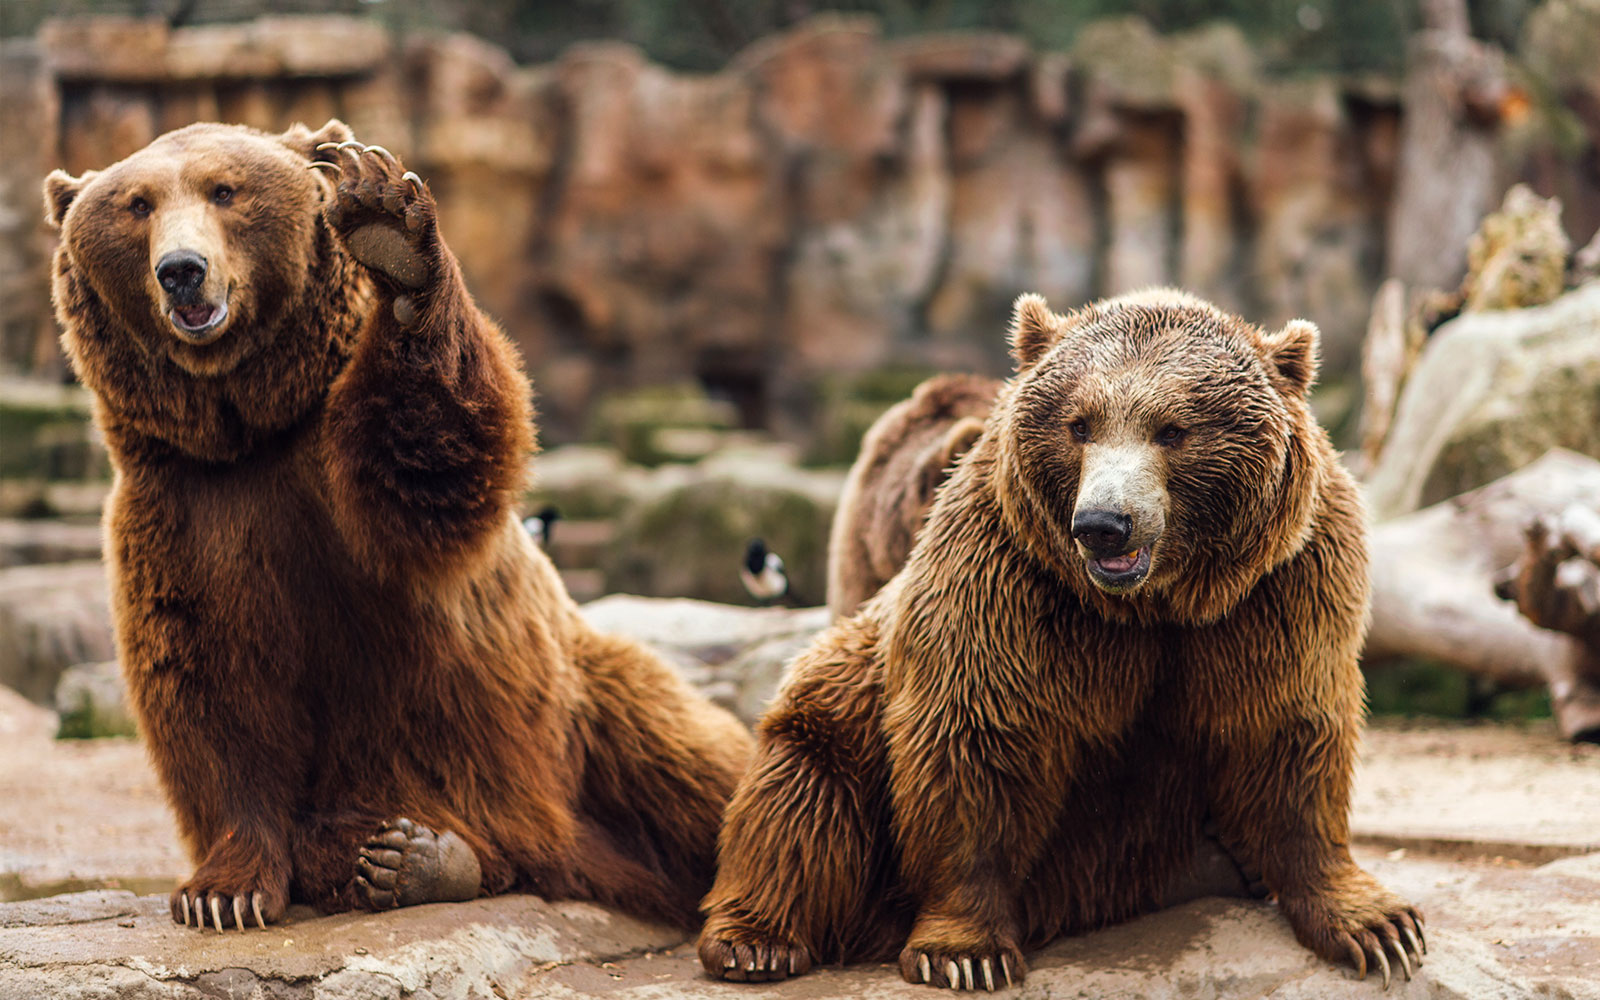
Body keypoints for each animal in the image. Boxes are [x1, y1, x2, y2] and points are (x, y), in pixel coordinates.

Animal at [44, 120, 752, 932]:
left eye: (225, 189)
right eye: (137, 204)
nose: (182, 271)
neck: (251, 429)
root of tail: (561, 856)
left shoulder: (346, 480)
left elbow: (432, 458)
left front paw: (389, 231)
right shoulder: (184, 515)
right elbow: (213, 690)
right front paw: (223, 892)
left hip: (584, 704)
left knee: (691, 764)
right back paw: (413, 857)